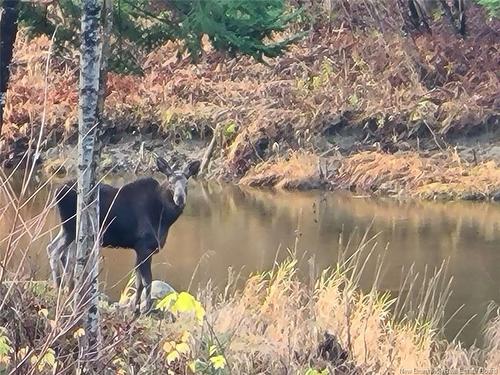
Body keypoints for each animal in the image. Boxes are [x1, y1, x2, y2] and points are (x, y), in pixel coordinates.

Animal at [47, 157, 201, 316]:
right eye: (170, 183)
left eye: (186, 183)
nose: (180, 199)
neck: (163, 218)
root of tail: (57, 191)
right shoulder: (145, 247)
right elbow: (147, 280)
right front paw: (146, 309)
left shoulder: (139, 249)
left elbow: (138, 281)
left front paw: (135, 308)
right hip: (71, 228)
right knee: (56, 251)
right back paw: (59, 288)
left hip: (69, 230)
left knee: (61, 252)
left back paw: (67, 289)